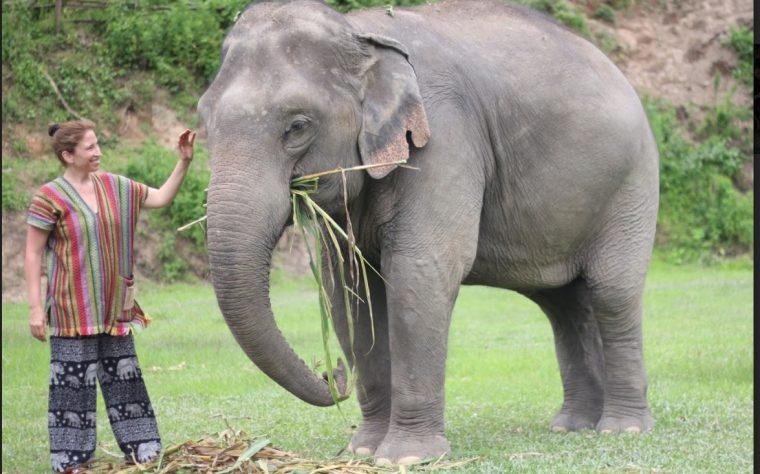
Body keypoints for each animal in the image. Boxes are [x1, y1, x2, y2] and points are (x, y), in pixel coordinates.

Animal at [197, 0, 660, 466]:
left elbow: (419, 271)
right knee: (564, 304)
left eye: (297, 126)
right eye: (204, 123)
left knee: (611, 291)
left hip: (632, 185)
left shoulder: (444, 136)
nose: (333, 373)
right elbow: (349, 287)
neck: (360, 34)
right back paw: (573, 425)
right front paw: (364, 449)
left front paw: (405, 458)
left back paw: (621, 428)